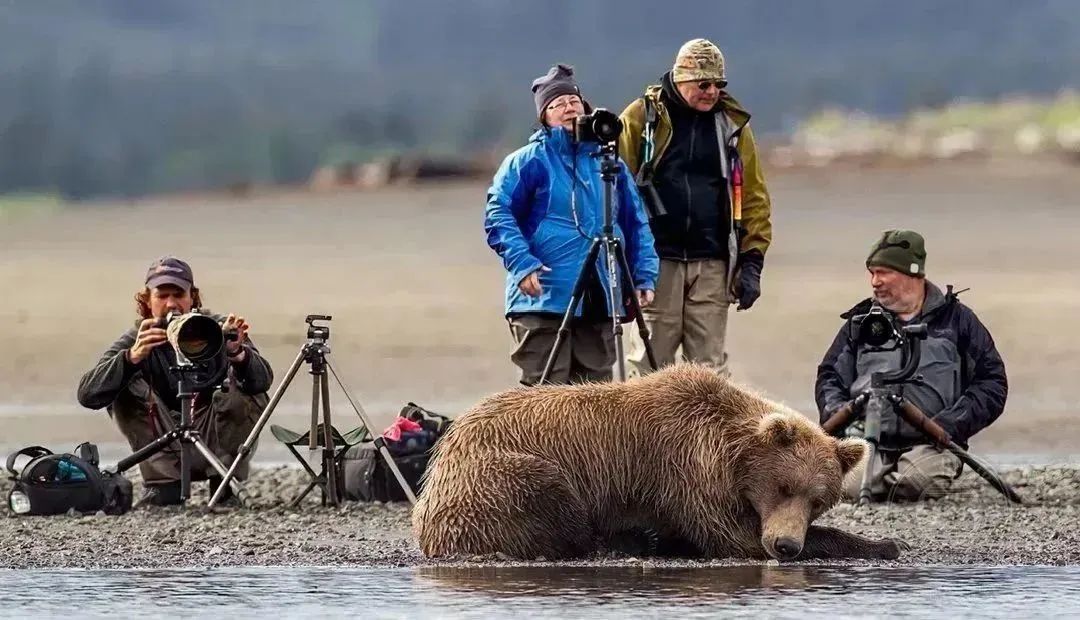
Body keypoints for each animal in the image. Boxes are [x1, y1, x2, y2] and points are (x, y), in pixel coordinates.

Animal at [410, 365, 902, 561]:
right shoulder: (686, 464)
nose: (786, 545)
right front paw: (882, 543)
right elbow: (732, 535)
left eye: (818, 500)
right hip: (498, 476)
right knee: (553, 500)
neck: (733, 456)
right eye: (784, 487)